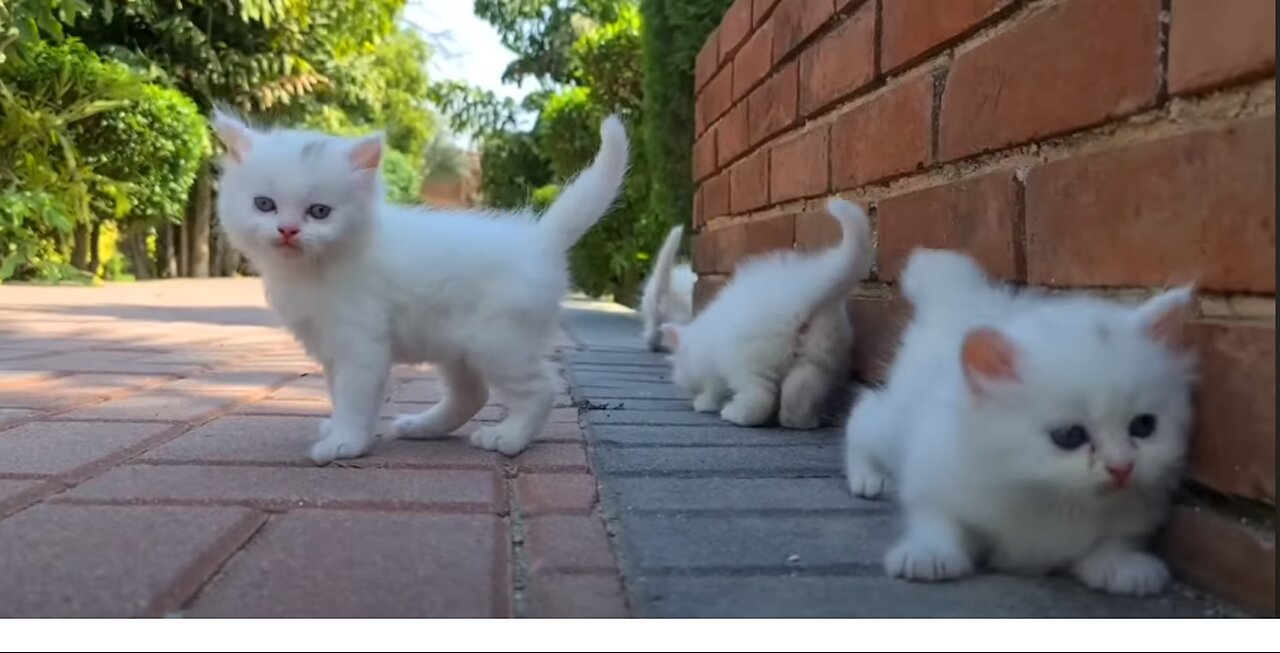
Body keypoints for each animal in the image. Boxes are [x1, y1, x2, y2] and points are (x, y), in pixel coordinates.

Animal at [211, 109, 629, 460]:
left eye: (319, 212)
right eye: (264, 204)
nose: (288, 230)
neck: (315, 270)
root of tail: (539, 239)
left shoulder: (361, 345)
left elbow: (354, 397)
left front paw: (346, 442)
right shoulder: (329, 346)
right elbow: (337, 393)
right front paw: (338, 428)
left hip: (499, 342)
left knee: (541, 389)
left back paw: (508, 438)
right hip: (459, 347)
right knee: (472, 395)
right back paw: (423, 427)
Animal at [660, 201, 870, 430]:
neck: (698, 337)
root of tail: (804, 289)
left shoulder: (713, 372)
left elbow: (713, 391)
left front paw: (704, 404)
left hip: (753, 364)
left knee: (759, 400)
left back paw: (734, 414)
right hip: (817, 360)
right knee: (800, 393)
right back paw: (798, 422)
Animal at [844, 249, 1192, 596]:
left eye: (1144, 427)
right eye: (1070, 436)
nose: (1122, 468)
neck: (1047, 498)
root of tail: (965, 295)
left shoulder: (1133, 511)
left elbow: (1116, 539)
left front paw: (1125, 566)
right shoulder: (934, 471)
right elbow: (939, 521)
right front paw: (928, 555)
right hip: (893, 424)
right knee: (861, 415)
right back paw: (868, 478)